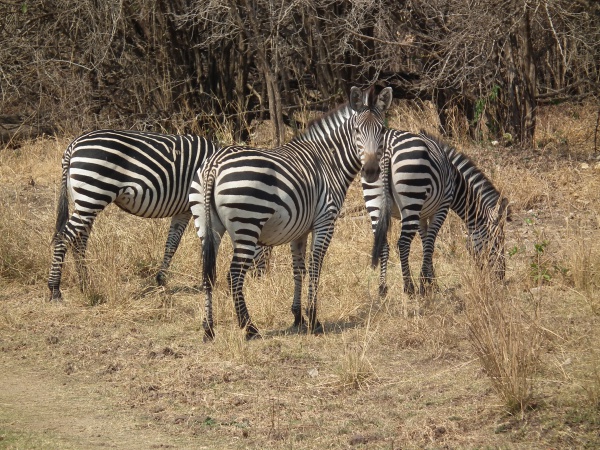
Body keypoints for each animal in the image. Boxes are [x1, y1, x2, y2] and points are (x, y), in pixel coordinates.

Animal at [48, 128, 218, 300]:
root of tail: (73, 145)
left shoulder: (183, 210)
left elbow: (172, 244)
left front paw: (161, 280)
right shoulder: (198, 206)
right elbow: (208, 241)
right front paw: (208, 280)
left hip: (85, 200)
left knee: (78, 241)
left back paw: (86, 285)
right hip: (93, 195)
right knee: (63, 237)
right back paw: (55, 289)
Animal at [189, 84, 394, 340]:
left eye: (381, 130)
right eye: (357, 130)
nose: (371, 171)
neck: (329, 162)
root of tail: (214, 164)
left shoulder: (299, 230)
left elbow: (299, 269)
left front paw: (298, 316)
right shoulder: (325, 221)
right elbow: (315, 267)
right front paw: (314, 319)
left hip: (207, 225)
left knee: (208, 274)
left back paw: (208, 330)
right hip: (248, 223)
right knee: (234, 274)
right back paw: (249, 327)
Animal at [366, 130, 510, 296]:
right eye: (497, 242)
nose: (501, 276)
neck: (455, 181)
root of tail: (388, 147)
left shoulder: (422, 215)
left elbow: (425, 244)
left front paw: (432, 282)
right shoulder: (442, 207)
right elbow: (430, 245)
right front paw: (425, 284)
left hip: (375, 198)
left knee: (383, 243)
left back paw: (382, 288)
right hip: (412, 196)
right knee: (403, 244)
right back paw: (409, 288)